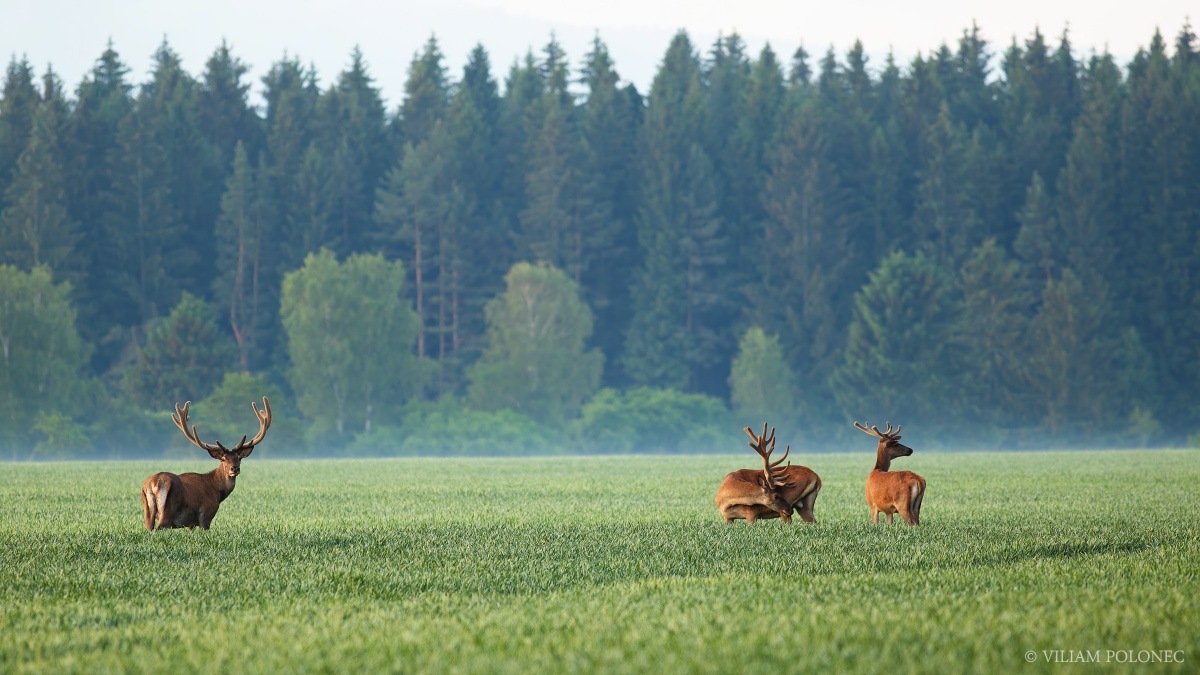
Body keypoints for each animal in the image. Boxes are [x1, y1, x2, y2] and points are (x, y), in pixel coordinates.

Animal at [141, 396, 272, 528]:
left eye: (239, 458)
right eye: (223, 459)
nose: (234, 468)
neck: (217, 492)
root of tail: (155, 483)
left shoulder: (190, 524)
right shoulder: (206, 515)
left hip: (147, 511)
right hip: (168, 511)